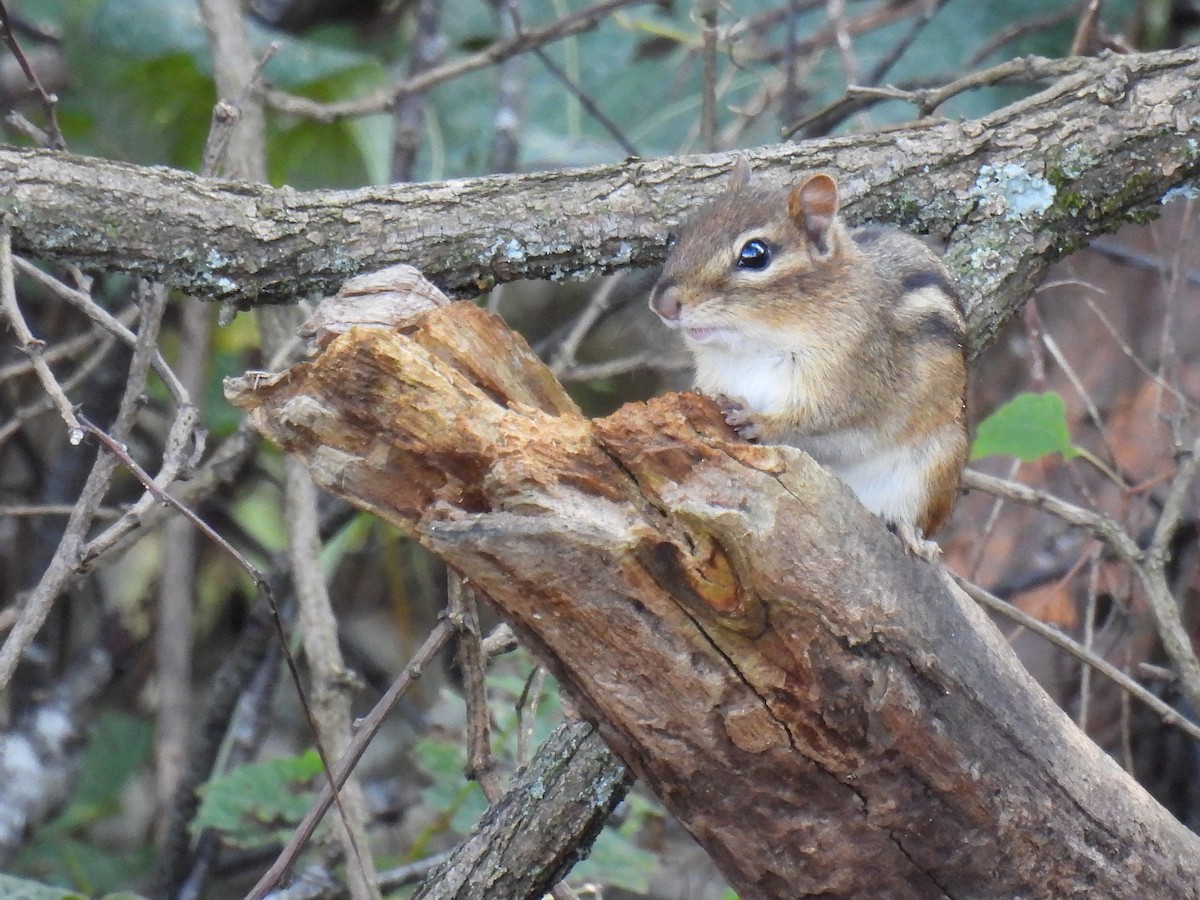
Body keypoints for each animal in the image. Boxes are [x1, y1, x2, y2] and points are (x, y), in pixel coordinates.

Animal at [649, 158, 968, 558]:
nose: (662, 304)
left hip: (931, 467)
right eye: (684, 233)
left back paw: (914, 537)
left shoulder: (856, 377)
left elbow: (822, 416)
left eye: (754, 254)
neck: (753, 347)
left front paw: (759, 420)